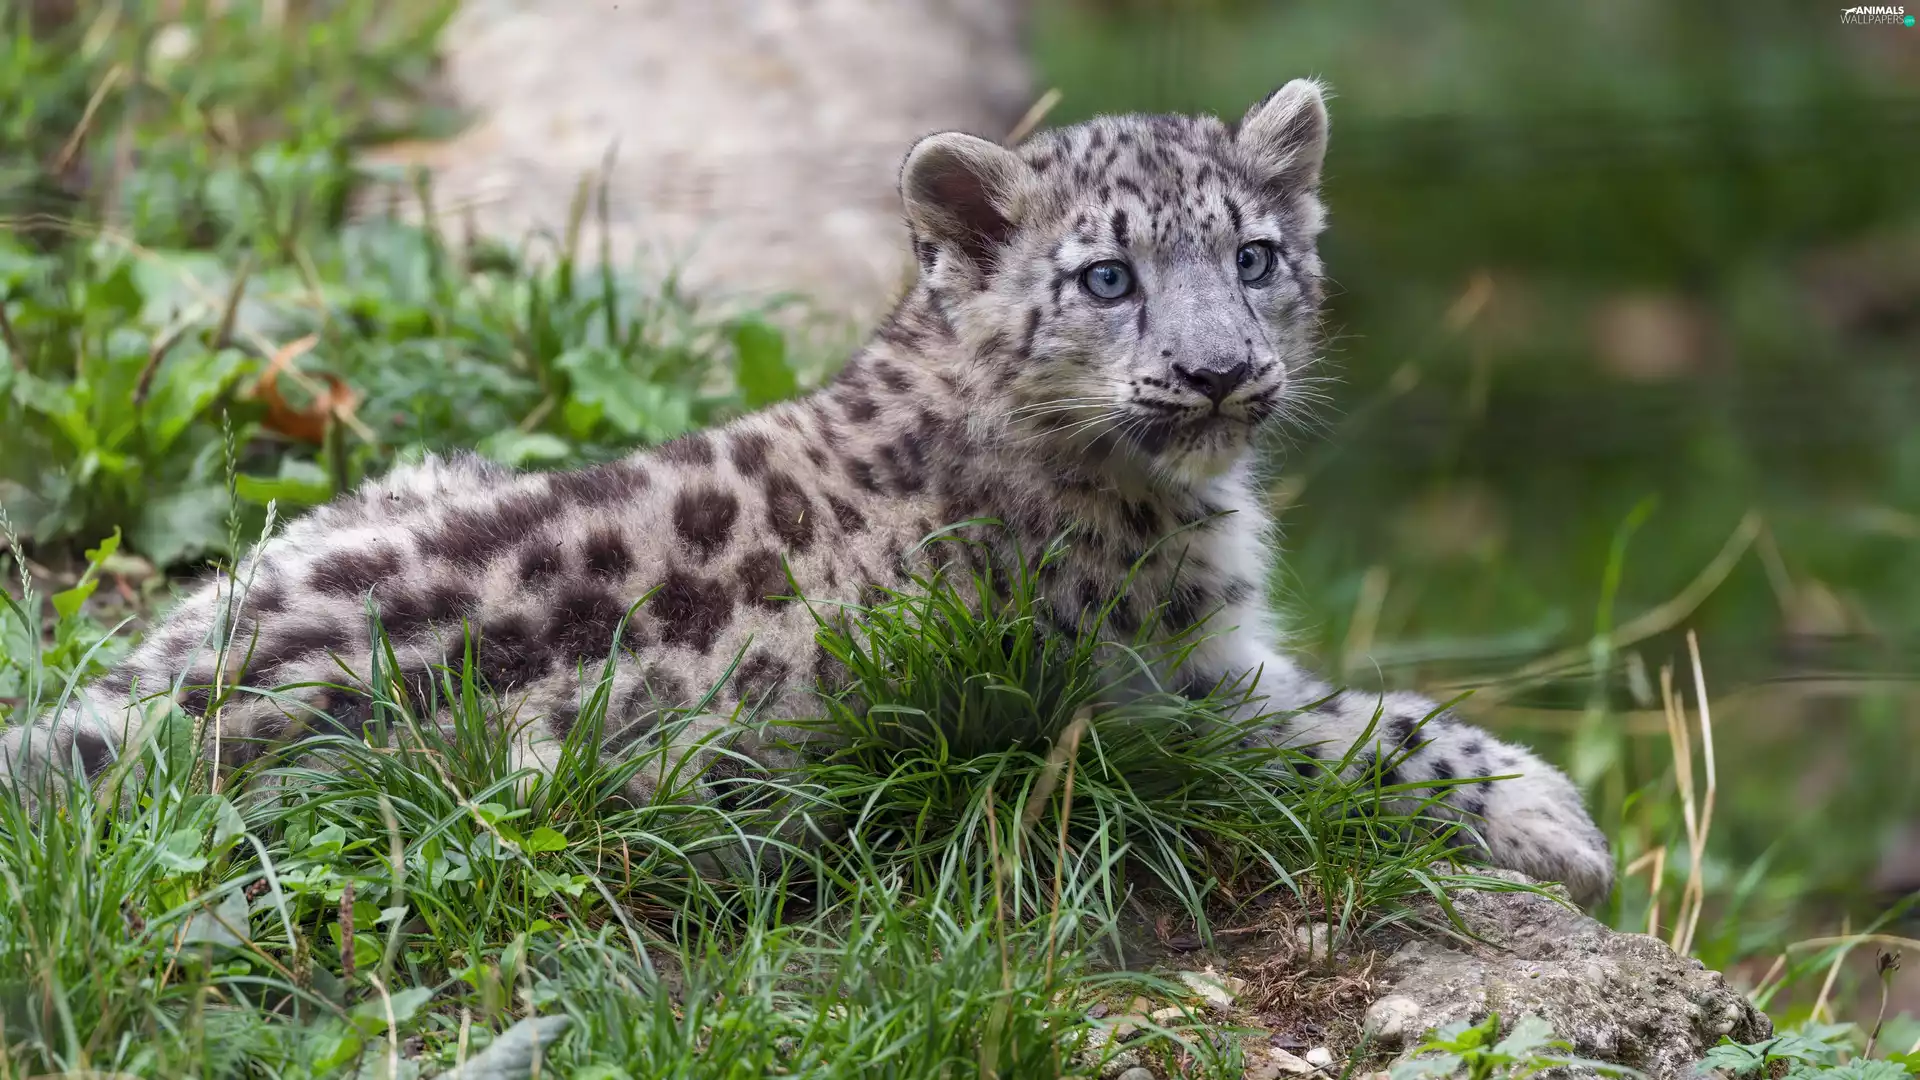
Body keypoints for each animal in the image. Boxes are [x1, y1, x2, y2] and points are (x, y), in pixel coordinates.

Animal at [0, 79, 1614, 906]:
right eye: (1108, 277)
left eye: (1257, 255)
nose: (1219, 372)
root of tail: (144, 702)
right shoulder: (1163, 698)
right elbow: (1362, 730)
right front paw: (1554, 813)